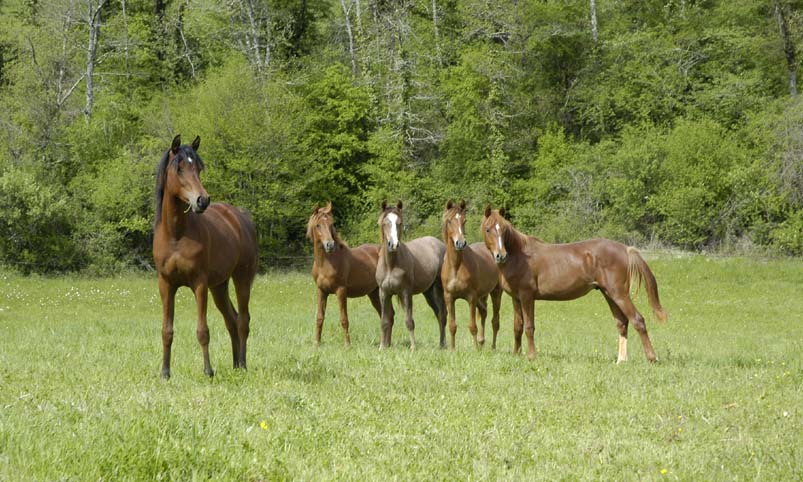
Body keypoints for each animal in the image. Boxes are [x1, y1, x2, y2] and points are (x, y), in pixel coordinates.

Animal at [153, 134, 258, 378]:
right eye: (180, 168)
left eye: (199, 168)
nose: (202, 200)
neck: (176, 235)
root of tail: (241, 217)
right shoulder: (166, 284)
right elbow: (166, 330)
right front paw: (165, 373)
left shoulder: (199, 284)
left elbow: (203, 330)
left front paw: (208, 371)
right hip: (219, 286)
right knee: (232, 319)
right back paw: (235, 364)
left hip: (242, 278)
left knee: (243, 321)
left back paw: (243, 365)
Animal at [308, 202, 386, 346]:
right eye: (318, 225)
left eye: (331, 224)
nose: (330, 245)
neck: (326, 263)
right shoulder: (321, 291)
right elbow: (319, 318)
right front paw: (316, 343)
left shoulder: (341, 291)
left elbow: (344, 319)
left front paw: (347, 344)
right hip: (373, 293)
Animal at [376, 200, 450, 350]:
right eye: (385, 223)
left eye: (399, 222)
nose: (393, 244)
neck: (391, 265)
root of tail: (439, 244)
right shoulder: (384, 293)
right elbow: (384, 321)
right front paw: (382, 347)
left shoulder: (406, 293)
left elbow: (409, 321)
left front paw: (413, 347)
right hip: (428, 292)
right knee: (438, 314)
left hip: (438, 289)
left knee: (442, 314)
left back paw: (442, 344)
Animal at [440, 200, 502, 350]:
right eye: (449, 221)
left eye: (464, 220)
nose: (460, 243)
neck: (456, 266)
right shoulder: (449, 297)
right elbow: (452, 326)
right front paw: (452, 349)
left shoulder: (471, 297)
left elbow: (472, 326)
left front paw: (475, 350)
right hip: (482, 296)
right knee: (484, 312)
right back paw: (481, 341)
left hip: (496, 292)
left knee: (495, 321)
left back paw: (492, 347)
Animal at [484, 206, 664, 362]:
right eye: (488, 229)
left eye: (504, 230)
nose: (501, 255)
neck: (519, 255)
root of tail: (625, 249)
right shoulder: (516, 298)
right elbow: (518, 326)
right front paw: (516, 354)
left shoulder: (527, 296)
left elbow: (529, 327)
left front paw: (531, 356)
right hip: (609, 294)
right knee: (622, 323)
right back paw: (621, 360)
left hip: (619, 294)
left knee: (637, 320)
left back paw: (652, 358)